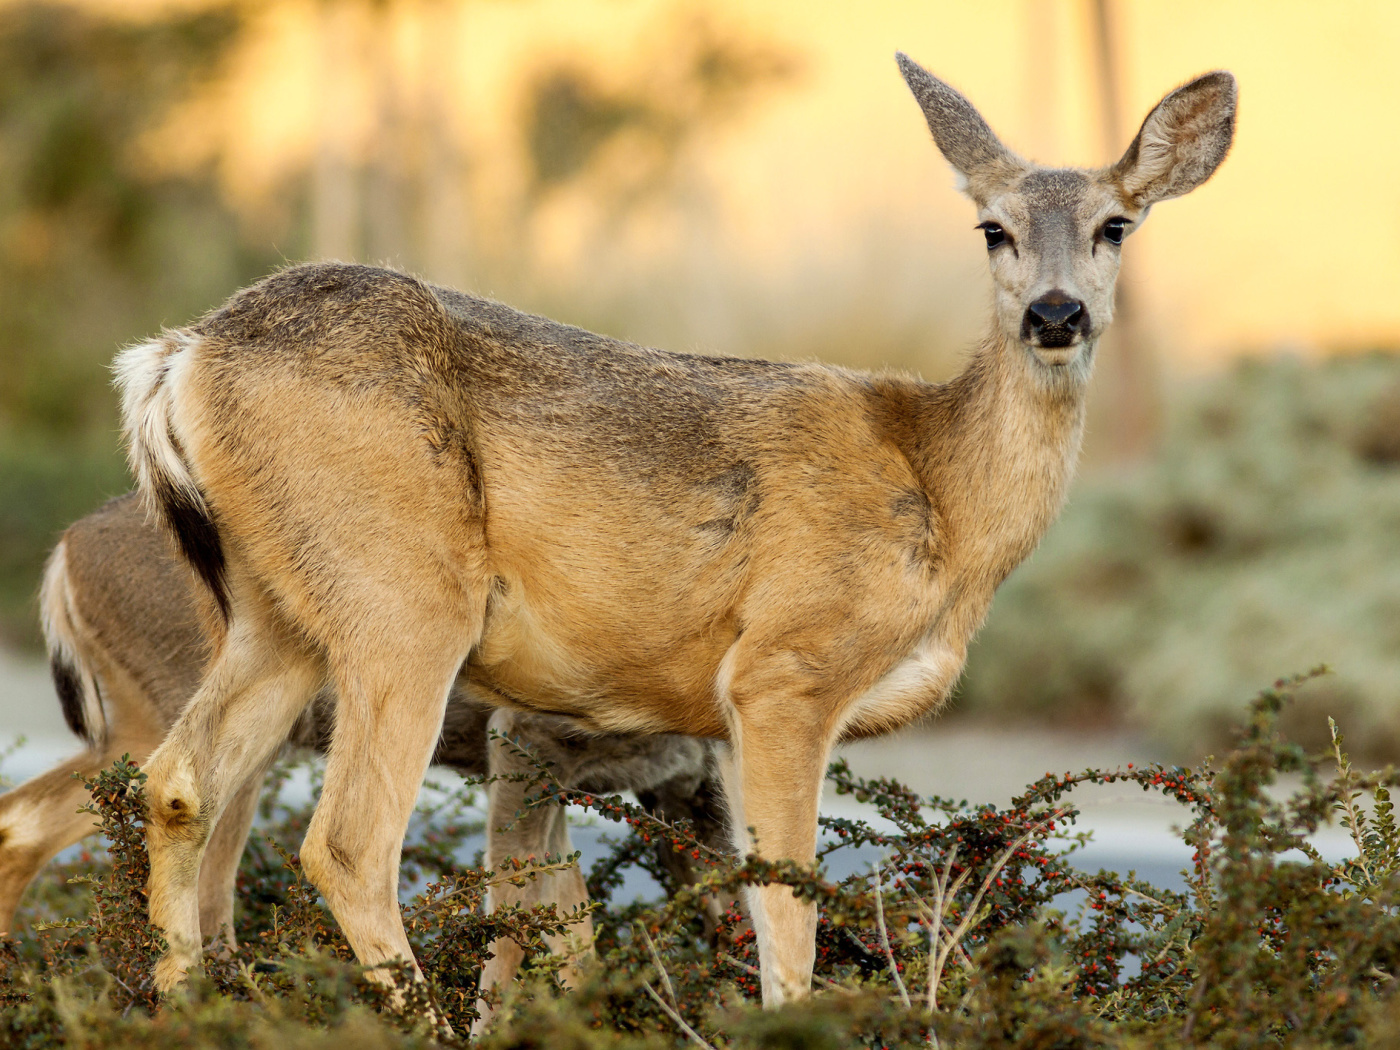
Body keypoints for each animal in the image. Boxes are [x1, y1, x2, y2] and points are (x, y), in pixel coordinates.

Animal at [5, 492, 733, 1019]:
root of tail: (64, 552)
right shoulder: (527, 742)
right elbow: (523, 917)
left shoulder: (681, 798)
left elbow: (593, 928)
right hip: (185, 708)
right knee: (202, 886)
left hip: (135, 725)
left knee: (28, 821)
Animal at [114, 53, 1237, 1008]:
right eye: (992, 228)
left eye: (1114, 226)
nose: (1054, 316)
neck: (941, 497)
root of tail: (180, 355)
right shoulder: (784, 668)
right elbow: (786, 910)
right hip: (403, 595)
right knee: (346, 841)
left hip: (276, 609)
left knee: (177, 783)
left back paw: (189, 1002)